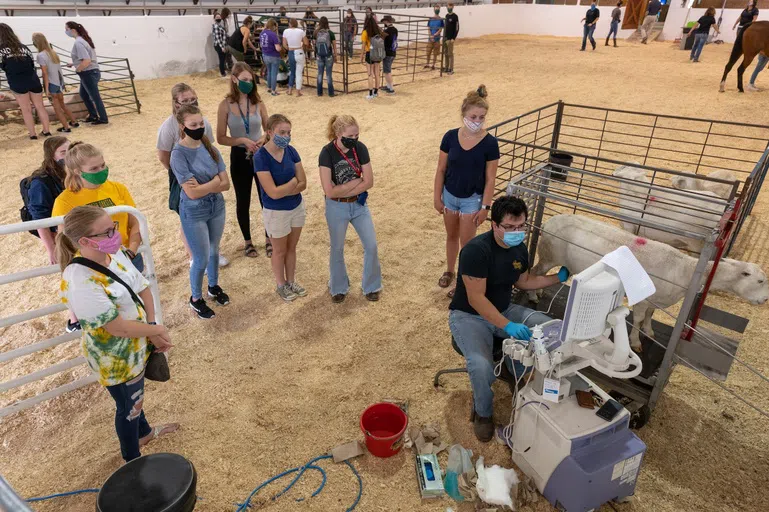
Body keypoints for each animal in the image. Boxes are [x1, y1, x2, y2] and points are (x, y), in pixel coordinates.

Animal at [528, 214, 768, 350]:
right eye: (760, 280)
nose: (764, 300)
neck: (684, 269)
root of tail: (549, 221)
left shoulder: (657, 299)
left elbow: (650, 316)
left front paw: (649, 332)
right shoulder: (643, 299)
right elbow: (638, 318)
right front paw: (636, 342)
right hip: (549, 254)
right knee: (534, 271)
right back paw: (533, 295)